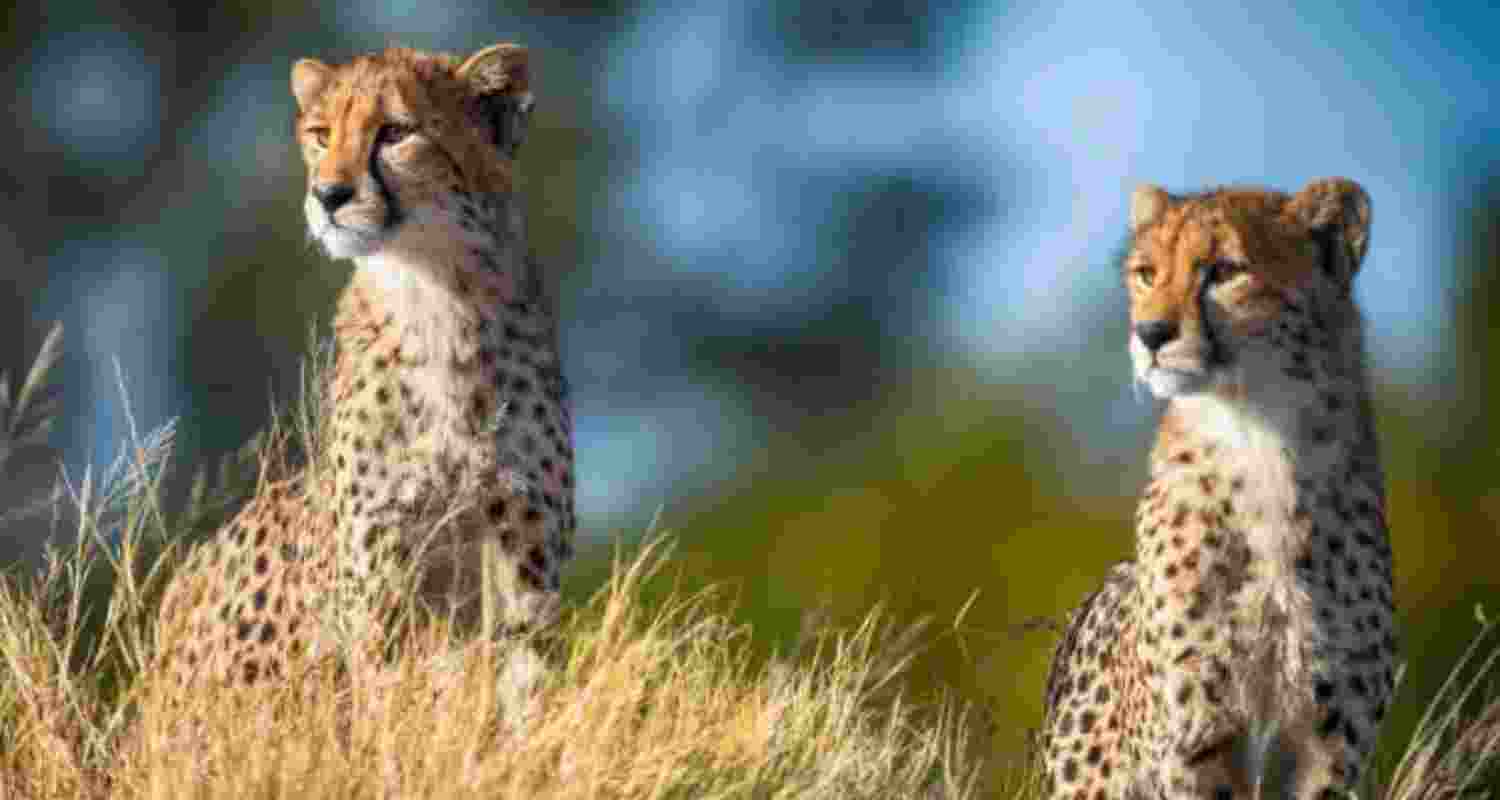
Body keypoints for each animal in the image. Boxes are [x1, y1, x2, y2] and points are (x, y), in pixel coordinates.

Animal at [154, 43, 575, 690]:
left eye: (396, 133)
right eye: (321, 134)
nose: (328, 195)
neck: (435, 298)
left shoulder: (526, 556)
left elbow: (524, 691)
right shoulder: (378, 572)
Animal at [1038, 178, 1399, 800]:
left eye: (1226, 271)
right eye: (1146, 273)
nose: (1150, 334)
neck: (1260, 439)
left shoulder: (1331, 746)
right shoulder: (1196, 739)